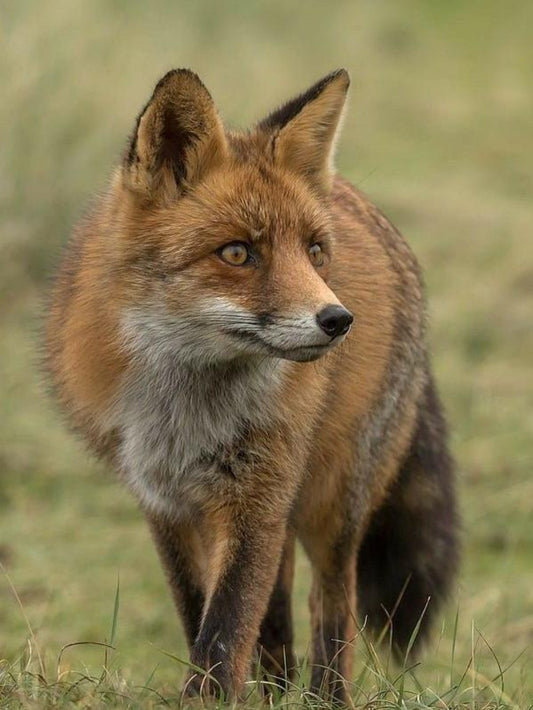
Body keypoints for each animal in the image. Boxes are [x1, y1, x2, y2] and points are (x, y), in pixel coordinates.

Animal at [45, 68, 459, 702]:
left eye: (314, 251)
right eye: (238, 252)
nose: (338, 320)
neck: (185, 409)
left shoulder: (256, 494)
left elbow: (227, 622)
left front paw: (209, 699)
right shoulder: (163, 499)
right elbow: (202, 613)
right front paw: (221, 695)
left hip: (334, 499)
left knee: (330, 603)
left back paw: (324, 697)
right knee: (282, 608)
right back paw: (277, 688)